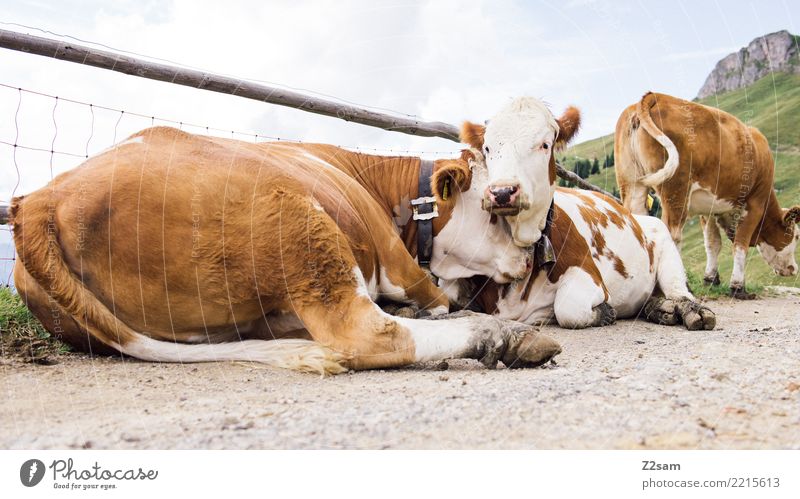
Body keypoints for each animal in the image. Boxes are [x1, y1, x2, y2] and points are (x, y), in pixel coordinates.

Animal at [14, 126, 564, 376]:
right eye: (496, 206)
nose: (532, 254)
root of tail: (41, 198)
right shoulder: (400, 263)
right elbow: (437, 298)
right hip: (297, 220)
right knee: (366, 333)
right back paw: (503, 338)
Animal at [456, 97, 720, 332]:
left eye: (545, 144)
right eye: (487, 148)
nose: (502, 192)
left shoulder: (589, 274)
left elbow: (567, 308)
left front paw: (604, 312)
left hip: (666, 243)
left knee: (679, 291)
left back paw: (688, 311)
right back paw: (658, 308)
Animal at [616, 92, 796, 298]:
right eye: (796, 236)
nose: (793, 269)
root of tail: (655, 96)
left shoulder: (709, 209)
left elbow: (712, 243)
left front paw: (711, 279)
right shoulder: (755, 203)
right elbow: (740, 245)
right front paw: (738, 287)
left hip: (632, 184)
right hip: (676, 189)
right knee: (672, 232)